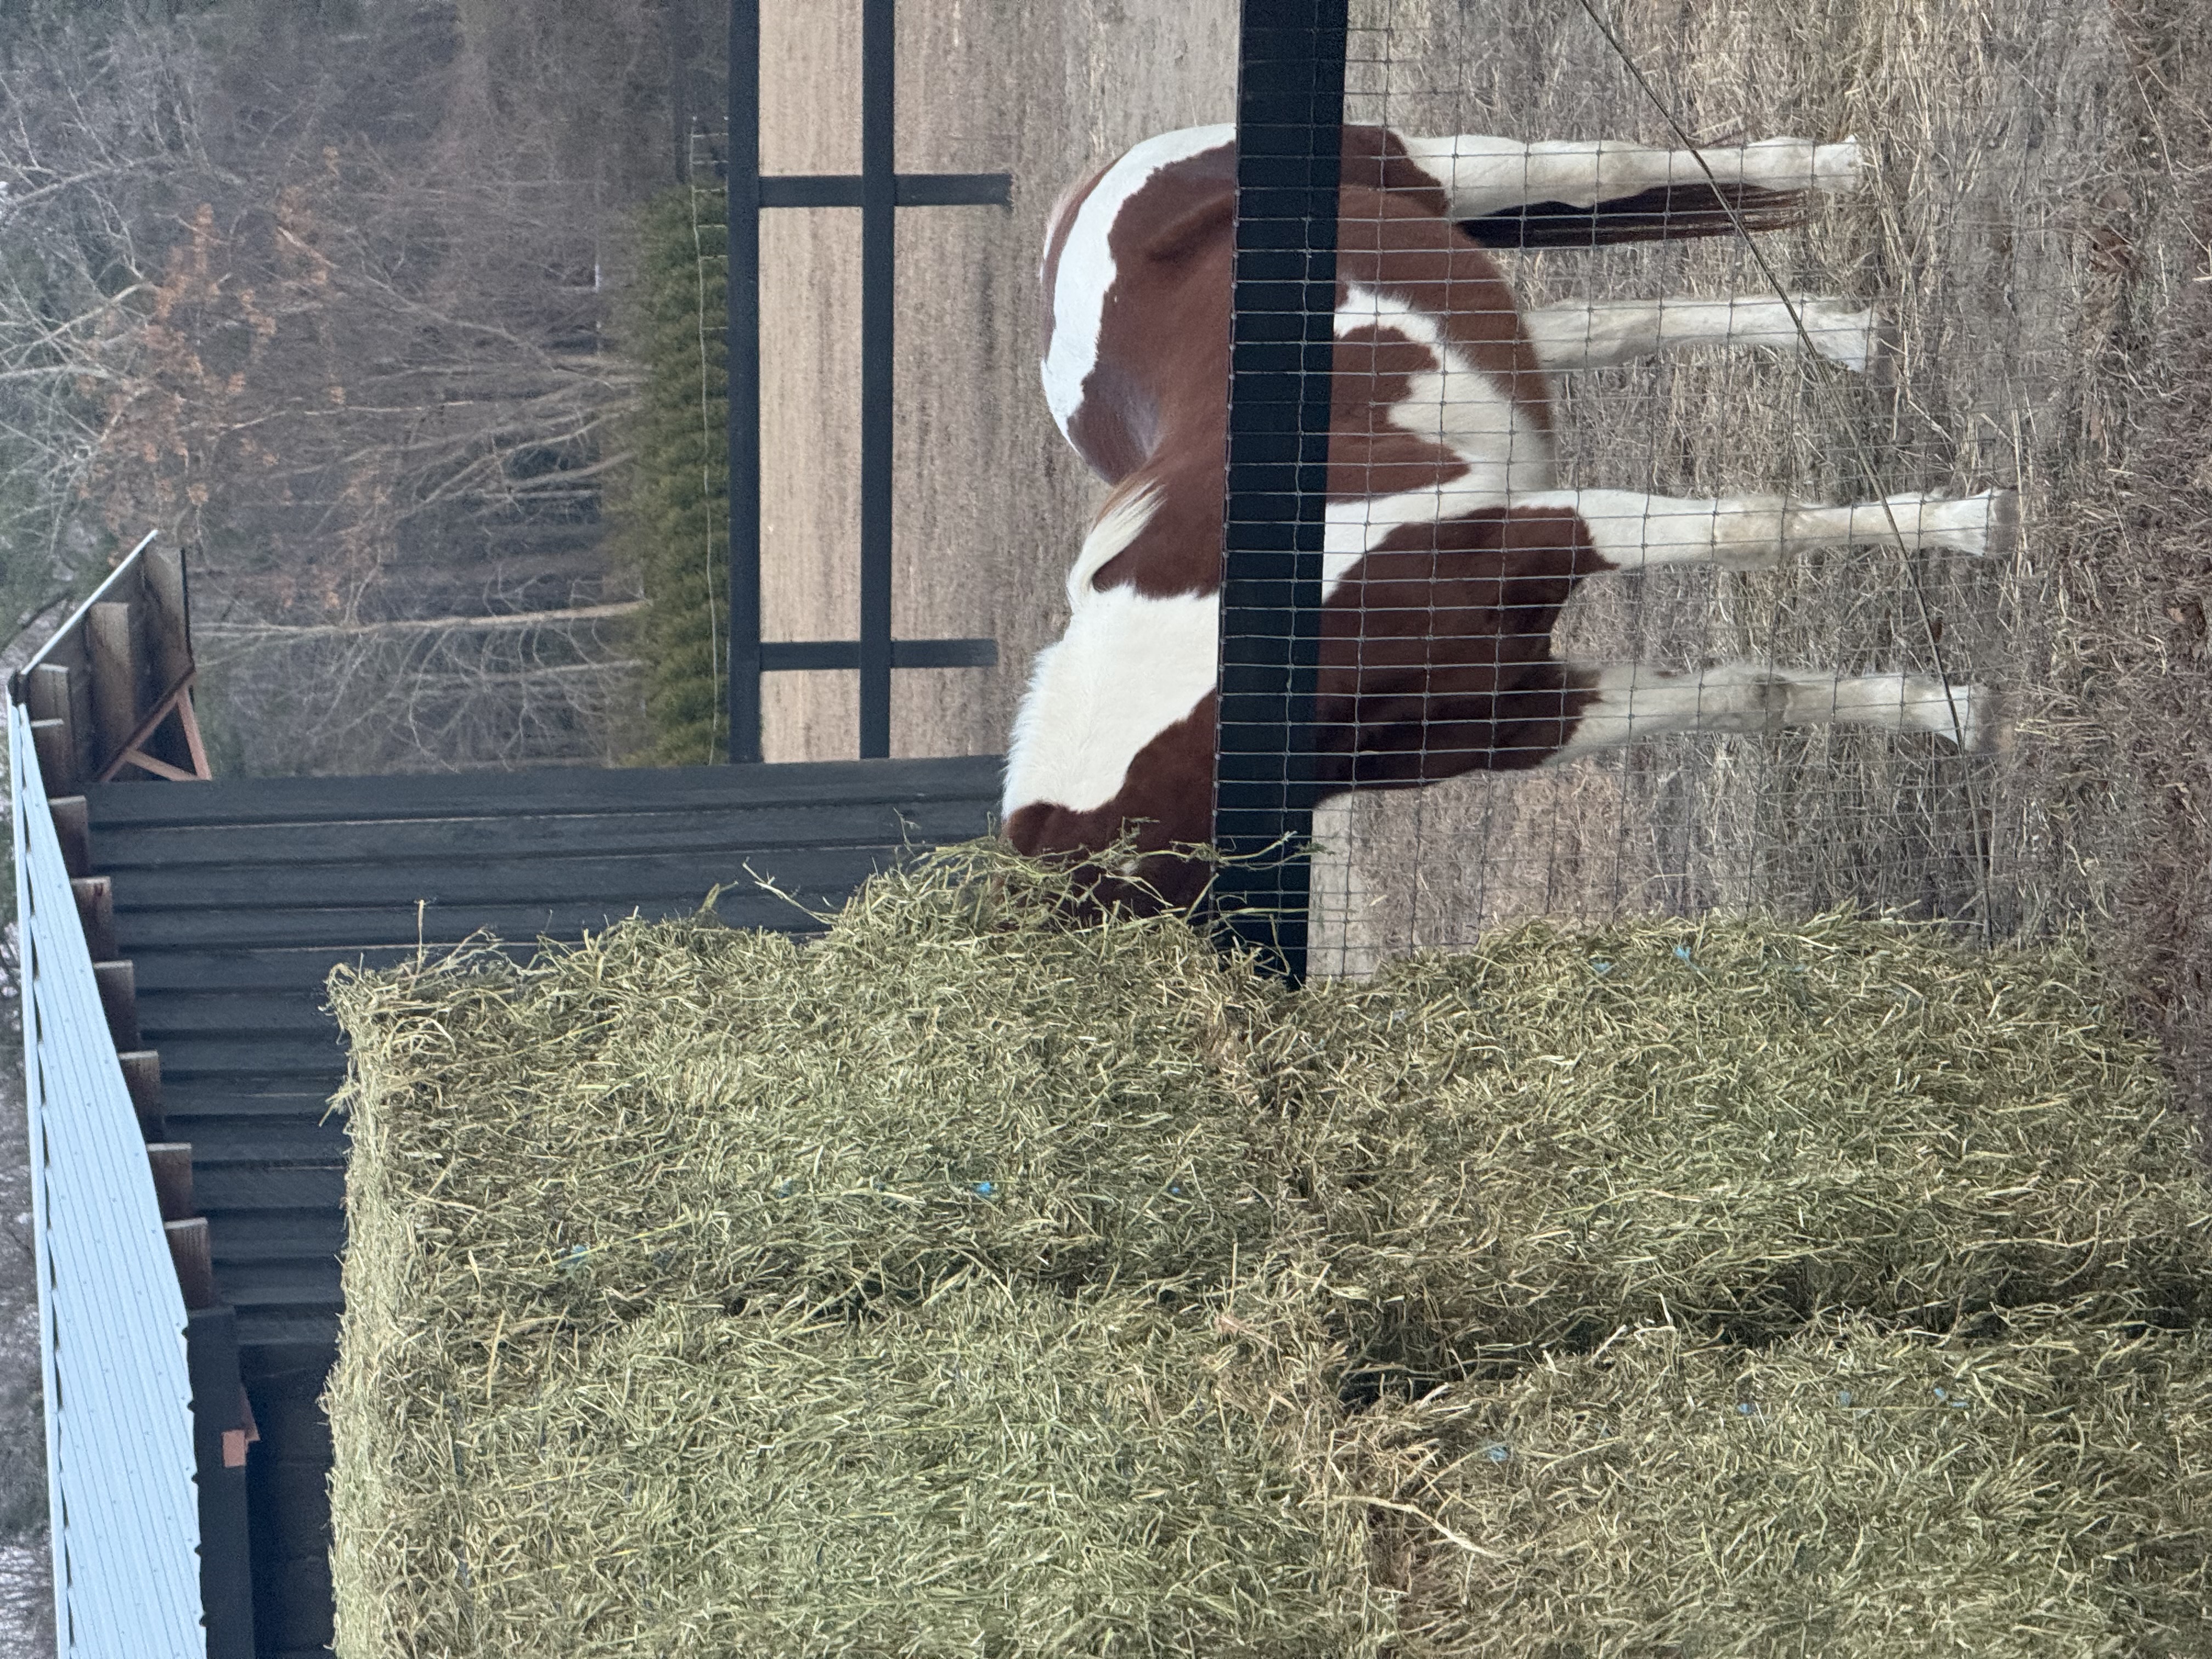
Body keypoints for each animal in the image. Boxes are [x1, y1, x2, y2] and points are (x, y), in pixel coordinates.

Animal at [1002, 123, 2011, 913]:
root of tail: (1075, 213)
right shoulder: (1519, 716)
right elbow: (1750, 695)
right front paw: (1943, 709)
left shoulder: (1540, 531)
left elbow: (1753, 532)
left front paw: (1968, 530)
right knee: (1614, 326)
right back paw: (1835, 334)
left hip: (1436, 168)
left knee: (1606, 166)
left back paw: (1836, 172)